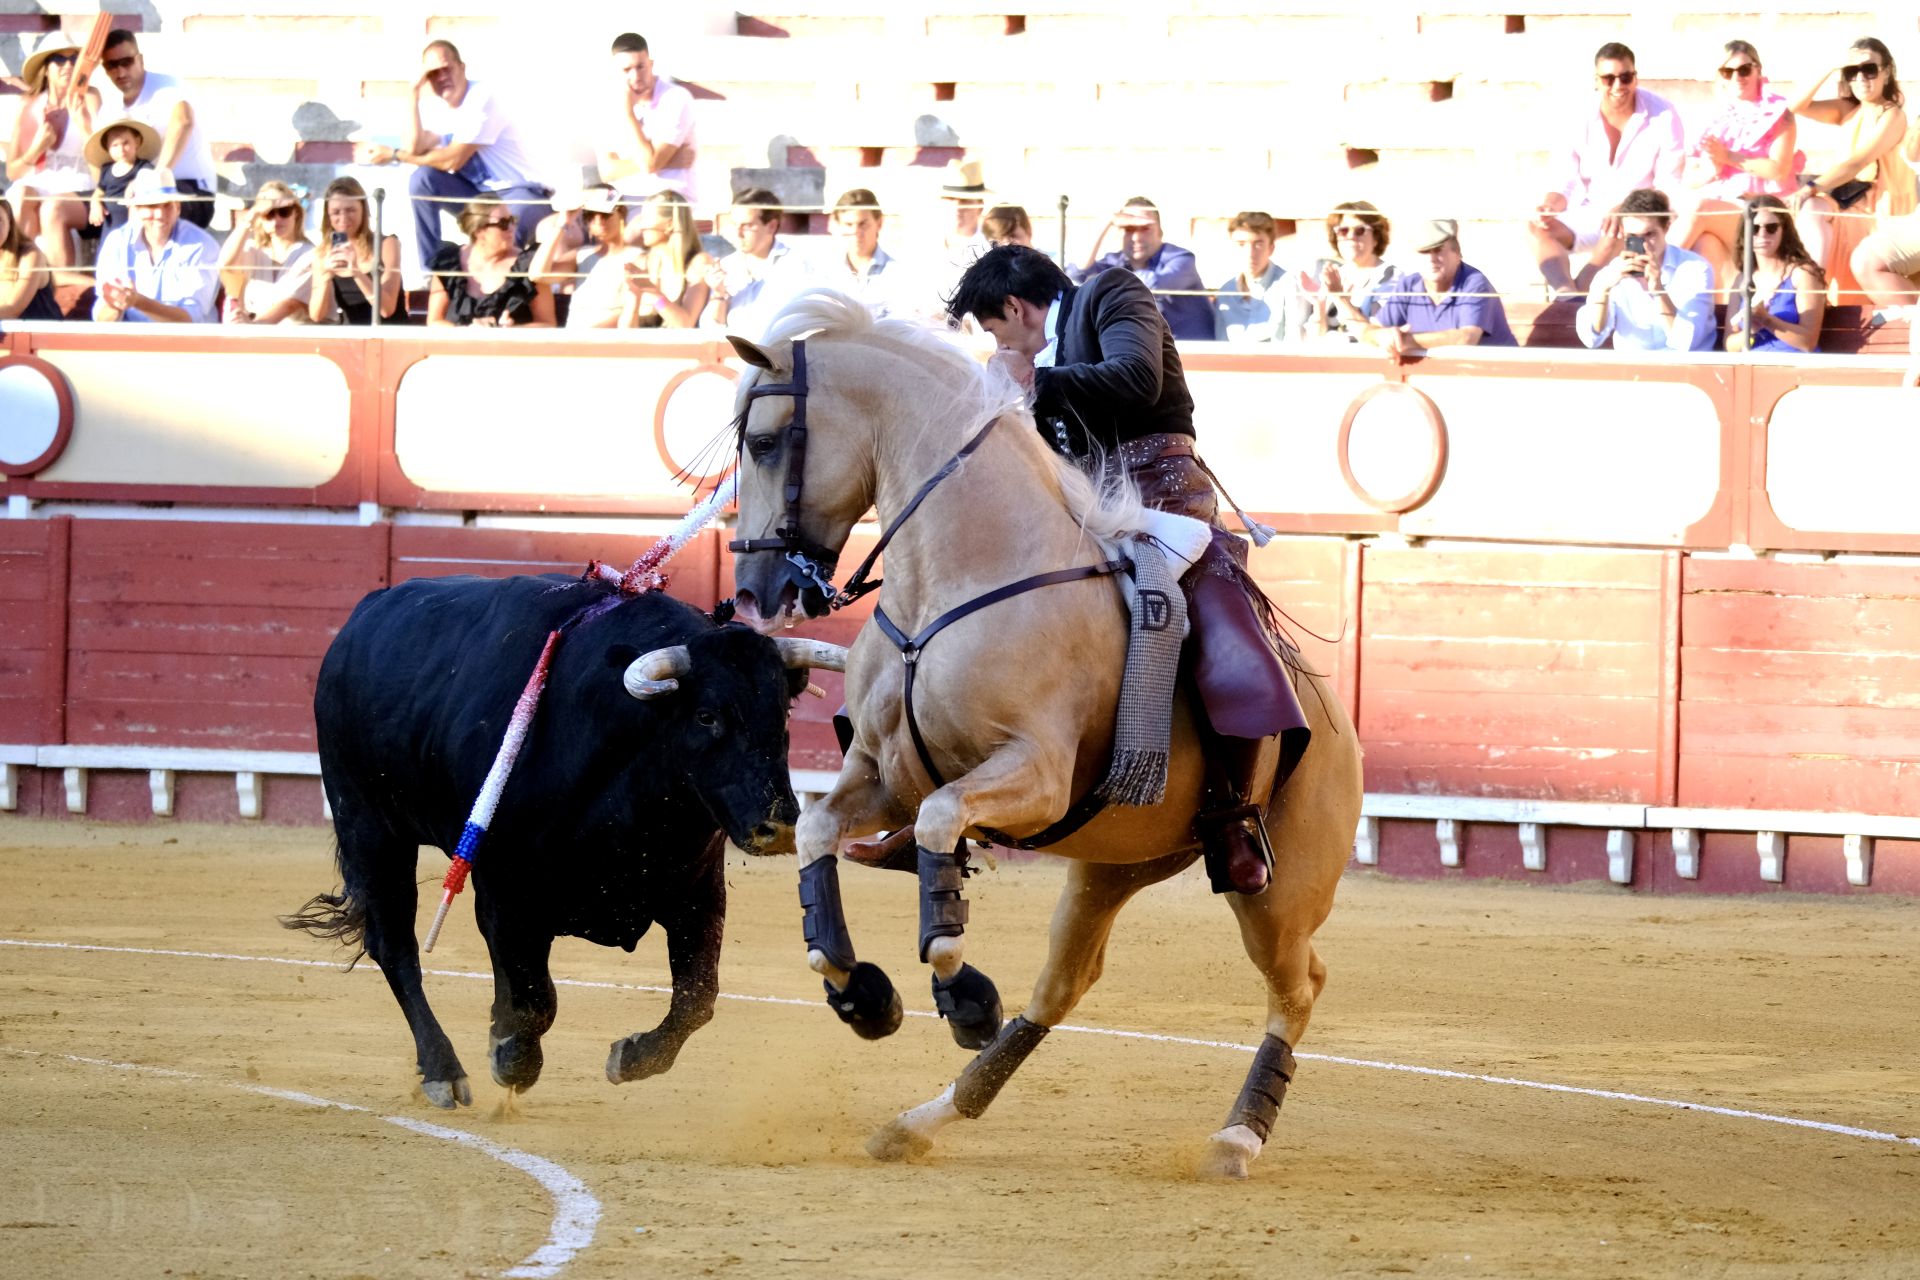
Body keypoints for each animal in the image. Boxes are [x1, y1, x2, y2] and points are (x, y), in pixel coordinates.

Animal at [286, 579, 817, 1113]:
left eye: (783, 714)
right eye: (706, 716)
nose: (780, 825)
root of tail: (364, 615)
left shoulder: (697, 892)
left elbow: (697, 998)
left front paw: (628, 1057)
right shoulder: (506, 896)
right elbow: (535, 1001)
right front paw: (511, 1059)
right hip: (370, 827)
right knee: (395, 947)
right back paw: (443, 1071)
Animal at [721, 293, 1367, 1182]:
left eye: (763, 441)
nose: (755, 591)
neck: (955, 577)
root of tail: (1340, 726)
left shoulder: (1034, 775)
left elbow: (940, 833)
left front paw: (959, 992)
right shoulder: (883, 773)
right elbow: (819, 828)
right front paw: (861, 993)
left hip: (1280, 892)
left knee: (1300, 985)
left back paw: (1237, 1136)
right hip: (1110, 866)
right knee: (1062, 988)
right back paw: (923, 1119)